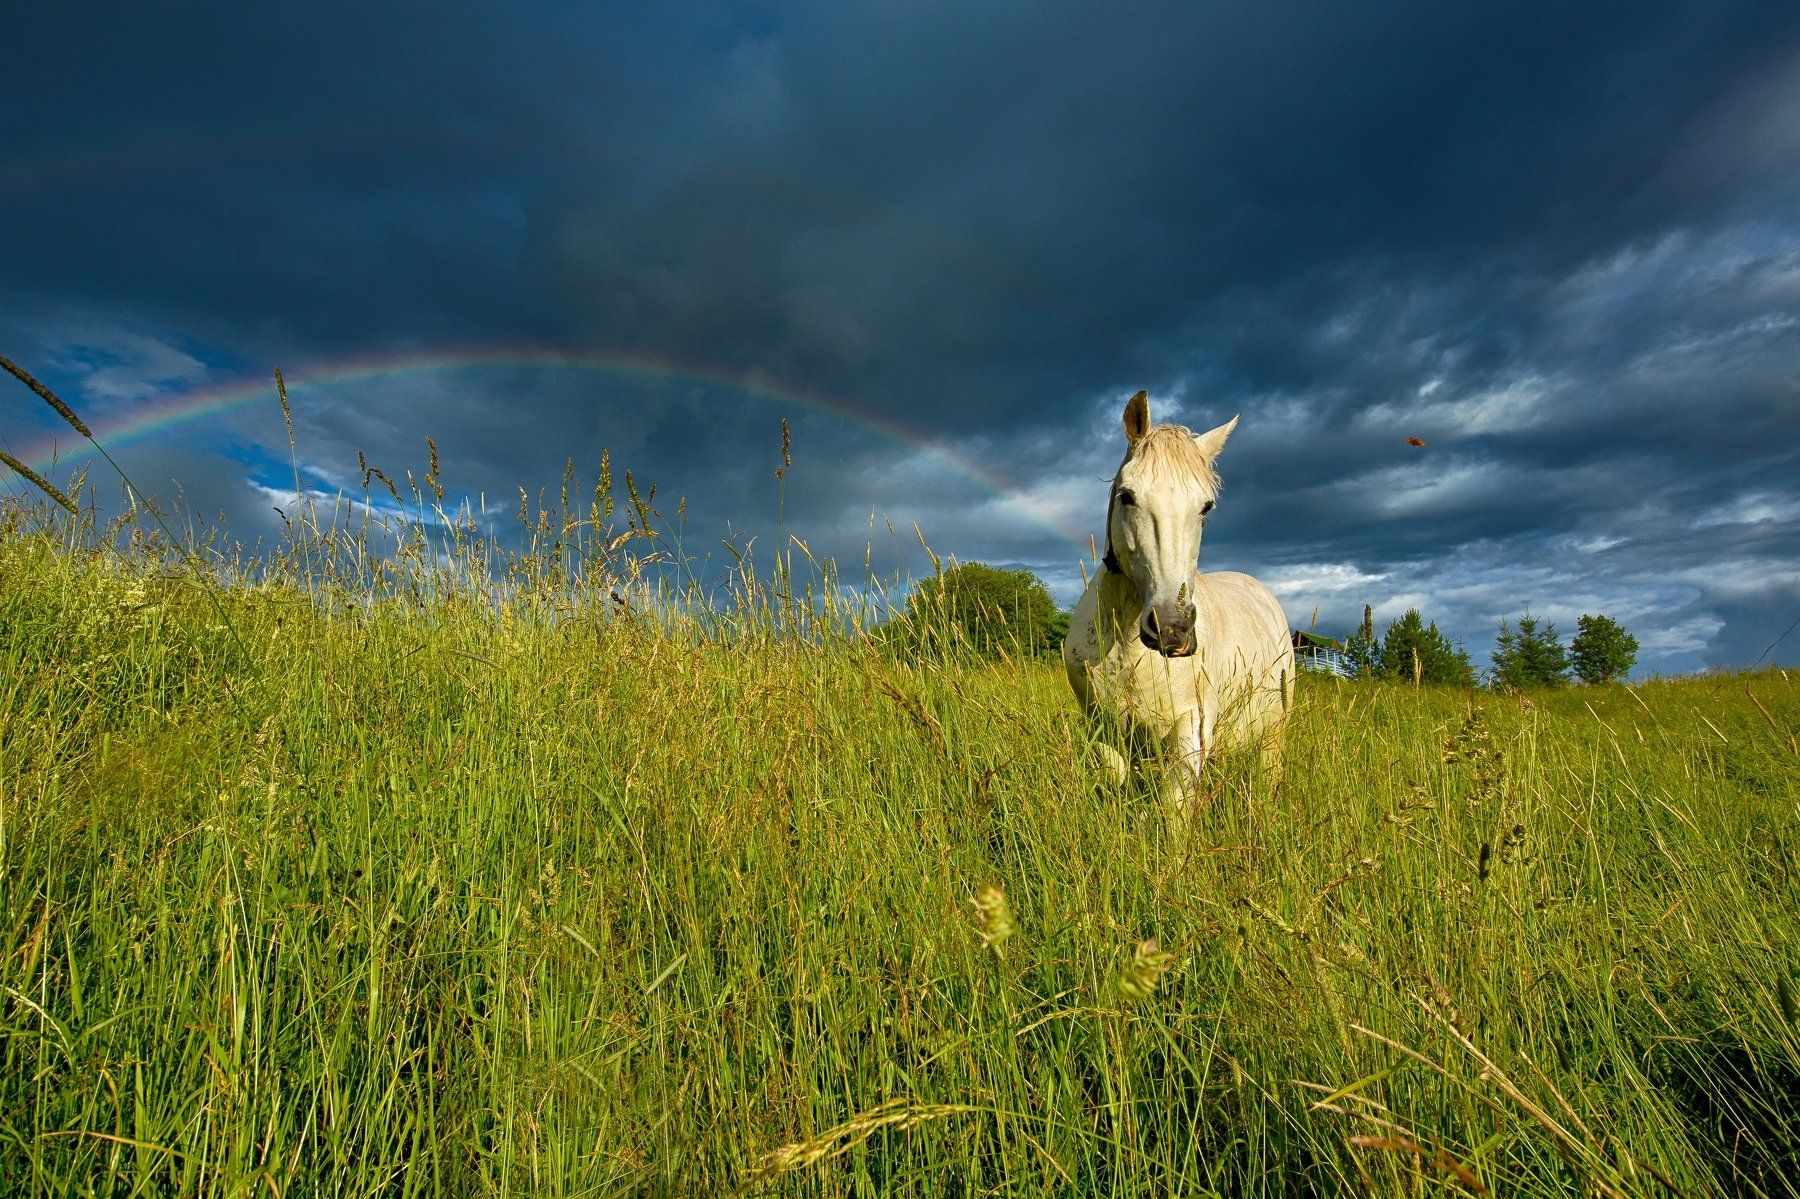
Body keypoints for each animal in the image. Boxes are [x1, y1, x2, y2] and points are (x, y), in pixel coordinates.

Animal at [1058, 392, 1303, 802]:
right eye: (1127, 497)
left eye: (1206, 506)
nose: (1172, 628)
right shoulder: (1103, 728)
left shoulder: (1191, 726)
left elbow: (1174, 806)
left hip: (1273, 733)